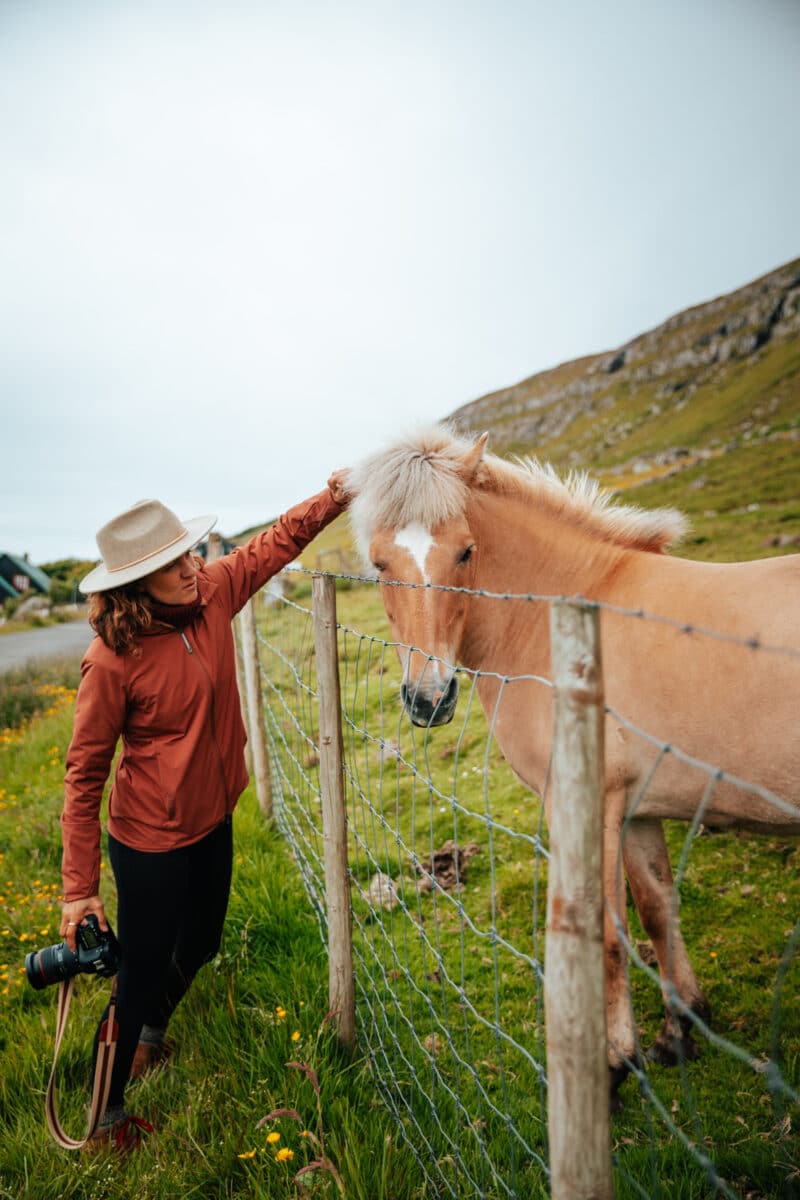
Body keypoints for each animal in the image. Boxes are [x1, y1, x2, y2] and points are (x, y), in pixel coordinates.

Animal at [347, 427, 800, 1099]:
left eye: (465, 553)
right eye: (380, 565)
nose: (430, 699)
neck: (558, 620)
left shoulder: (588, 806)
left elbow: (607, 936)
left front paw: (613, 1065)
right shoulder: (636, 809)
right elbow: (656, 910)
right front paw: (680, 1031)